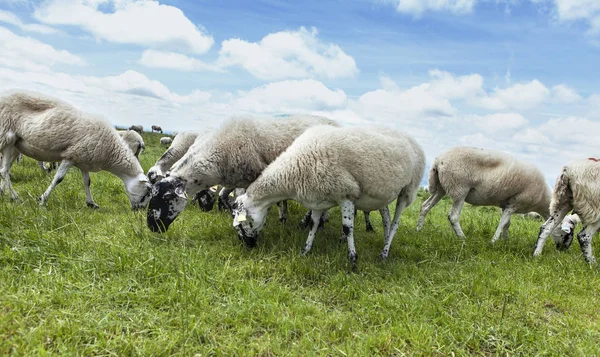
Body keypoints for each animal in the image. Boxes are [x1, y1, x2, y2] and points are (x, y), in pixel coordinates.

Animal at [0, 89, 152, 210]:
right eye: (146, 193)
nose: (139, 210)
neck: (111, 151)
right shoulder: (71, 156)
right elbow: (58, 179)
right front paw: (42, 200)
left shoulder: (84, 161)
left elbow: (87, 182)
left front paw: (91, 203)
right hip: (6, 136)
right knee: (4, 171)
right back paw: (15, 197)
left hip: (16, 145)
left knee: (5, 170)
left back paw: (6, 194)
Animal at [146, 112, 338, 232]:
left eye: (167, 198)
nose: (152, 227)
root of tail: (337, 123)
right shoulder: (236, 179)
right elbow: (224, 196)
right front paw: (231, 211)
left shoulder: (257, 176)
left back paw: (313, 222)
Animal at [231, 125, 426, 268]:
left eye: (243, 223)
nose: (249, 246)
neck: (294, 168)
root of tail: (410, 136)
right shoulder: (317, 200)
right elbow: (313, 225)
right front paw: (305, 251)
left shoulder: (345, 194)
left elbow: (347, 229)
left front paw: (352, 259)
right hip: (380, 194)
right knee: (386, 219)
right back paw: (385, 243)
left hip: (407, 190)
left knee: (394, 224)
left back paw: (384, 253)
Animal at [418, 145, 552, 242]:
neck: (542, 201)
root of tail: (438, 160)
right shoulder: (516, 202)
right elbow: (503, 223)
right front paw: (494, 241)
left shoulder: (507, 204)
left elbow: (507, 224)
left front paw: (505, 240)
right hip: (459, 188)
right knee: (453, 216)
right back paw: (462, 238)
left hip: (442, 187)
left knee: (425, 206)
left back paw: (418, 229)